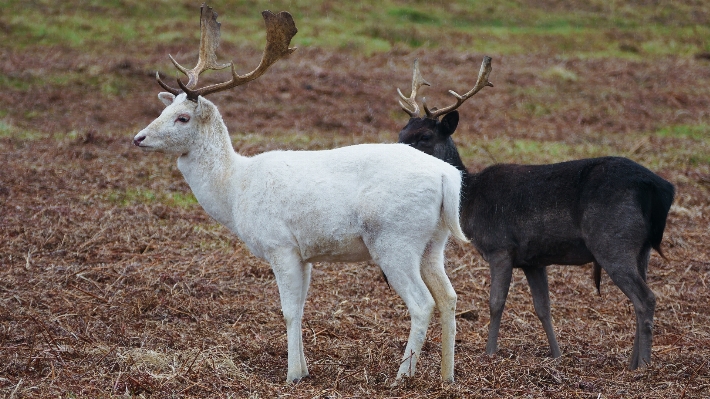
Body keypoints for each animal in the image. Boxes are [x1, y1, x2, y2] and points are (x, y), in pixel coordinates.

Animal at [134, 4, 470, 382]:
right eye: (163, 109)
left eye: (183, 117)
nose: (139, 138)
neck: (235, 190)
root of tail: (448, 176)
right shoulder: (305, 253)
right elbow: (302, 307)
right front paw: (305, 368)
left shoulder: (279, 244)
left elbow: (288, 310)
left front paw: (293, 373)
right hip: (434, 242)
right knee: (449, 296)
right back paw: (446, 375)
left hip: (395, 239)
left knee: (422, 302)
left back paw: (402, 375)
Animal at [398, 57, 676, 372]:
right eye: (401, 132)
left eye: (425, 136)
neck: (470, 199)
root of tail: (661, 188)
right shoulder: (533, 260)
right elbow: (543, 308)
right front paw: (556, 355)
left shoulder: (501, 246)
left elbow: (496, 302)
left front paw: (490, 353)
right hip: (641, 248)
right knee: (641, 295)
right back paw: (633, 362)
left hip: (613, 239)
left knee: (646, 298)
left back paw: (644, 366)